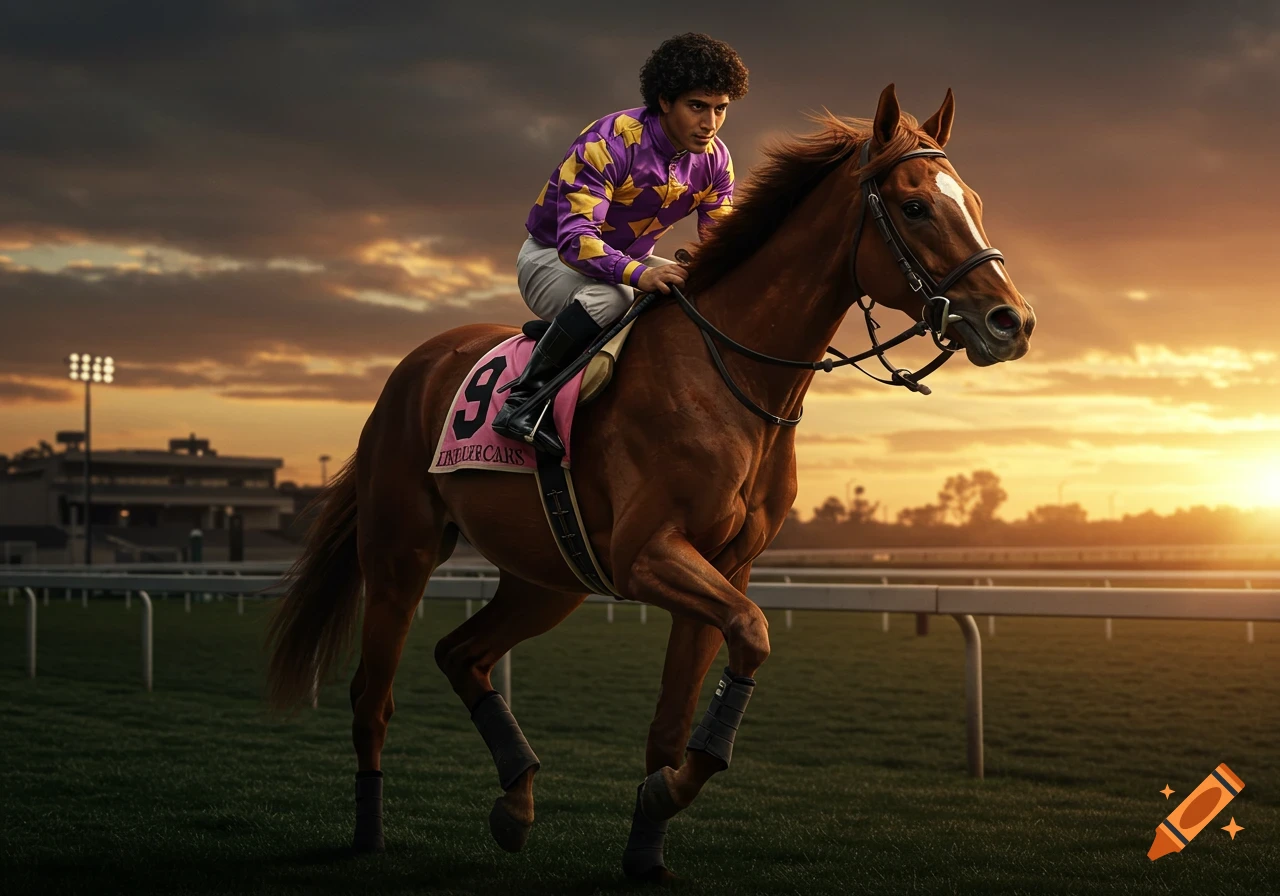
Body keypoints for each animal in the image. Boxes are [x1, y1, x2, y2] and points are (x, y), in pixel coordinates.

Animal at [264, 83, 1036, 881]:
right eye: (914, 206)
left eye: (974, 201)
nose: (1011, 321)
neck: (732, 377)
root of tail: (412, 368)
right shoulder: (648, 554)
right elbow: (753, 631)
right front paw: (666, 796)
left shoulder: (726, 565)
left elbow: (678, 715)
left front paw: (649, 835)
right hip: (400, 555)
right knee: (372, 695)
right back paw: (369, 831)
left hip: (550, 577)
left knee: (460, 654)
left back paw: (516, 802)